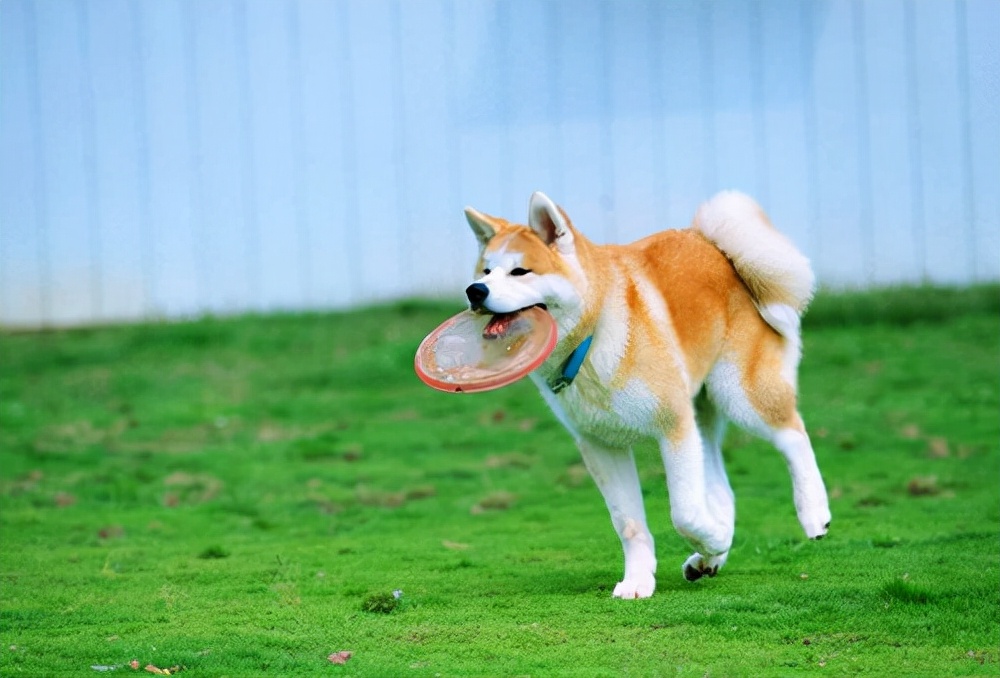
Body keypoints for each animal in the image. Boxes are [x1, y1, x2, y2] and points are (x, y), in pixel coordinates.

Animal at [464, 191, 832, 600]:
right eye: (485, 271)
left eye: (520, 272)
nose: (475, 291)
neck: (592, 338)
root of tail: (714, 246)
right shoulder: (601, 445)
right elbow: (629, 524)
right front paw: (639, 580)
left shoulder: (673, 426)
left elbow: (684, 512)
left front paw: (714, 539)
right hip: (702, 417)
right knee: (724, 491)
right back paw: (708, 559)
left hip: (740, 396)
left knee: (793, 436)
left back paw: (812, 513)